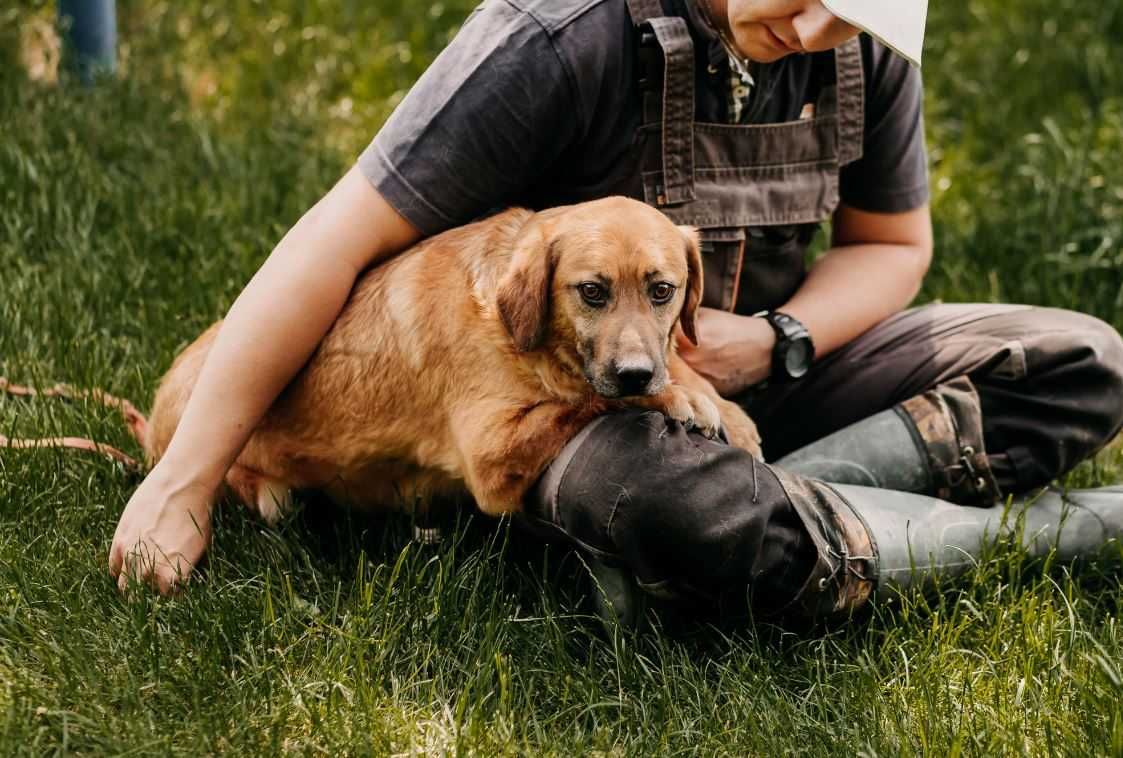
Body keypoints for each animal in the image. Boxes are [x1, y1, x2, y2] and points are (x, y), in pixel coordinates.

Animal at [2, 195, 763, 527]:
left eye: (662, 291)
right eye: (592, 292)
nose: (637, 370)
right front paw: (677, 397)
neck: (527, 339)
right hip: (270, 496)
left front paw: (715, 400)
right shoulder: (493, 457)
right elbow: (586, 396)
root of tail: (148, 437)